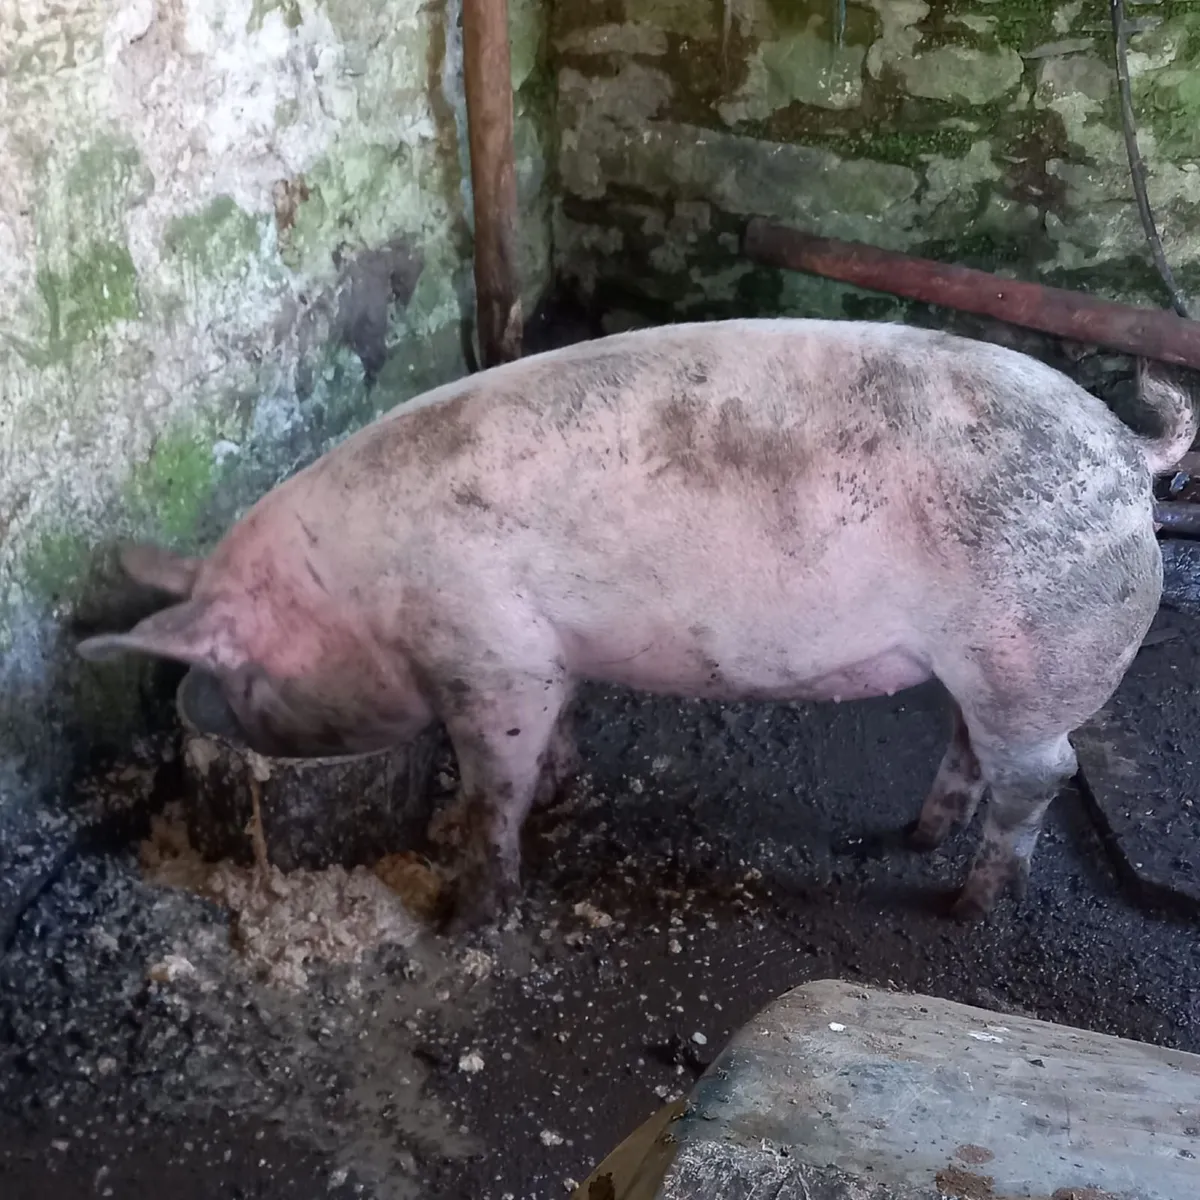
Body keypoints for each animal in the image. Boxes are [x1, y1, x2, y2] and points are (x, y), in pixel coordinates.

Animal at [77, 319, 1196, 929]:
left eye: (250, 681)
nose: (238, 732)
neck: (355, 591)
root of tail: (1129, 452)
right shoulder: (549, 653)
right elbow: (559, 734)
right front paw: (563, 790)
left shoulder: (493, 653)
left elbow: (491, 788)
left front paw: (466, 911)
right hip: (993, 659)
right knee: (972, 742)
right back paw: (917, 834)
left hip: (1044, 645)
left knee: (1045, 772)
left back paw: (967, 903)